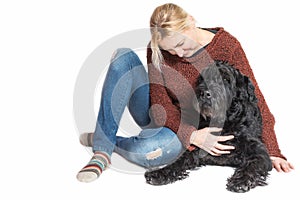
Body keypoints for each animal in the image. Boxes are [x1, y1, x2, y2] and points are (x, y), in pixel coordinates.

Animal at [144, 60, 274, 192]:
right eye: (203, 78)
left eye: (226, 79)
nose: (204, 93)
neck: (223, 123)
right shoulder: (198, 147)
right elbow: (179, 159)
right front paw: (161, 172)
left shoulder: (258, 150)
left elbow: (253, 163)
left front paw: (241, 180)